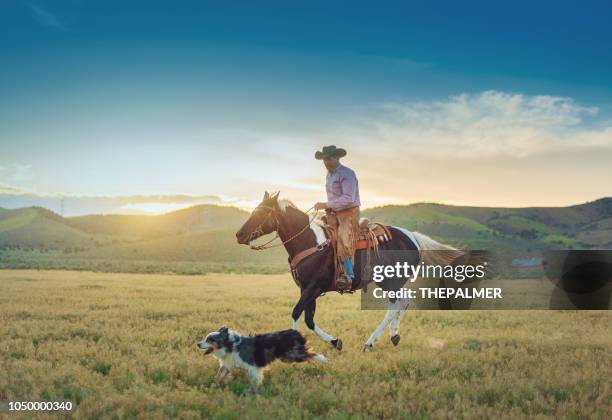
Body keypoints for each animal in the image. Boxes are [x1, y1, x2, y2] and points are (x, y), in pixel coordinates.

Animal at [198, 326, 328, 392]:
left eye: (210, 340)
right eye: (206, 338)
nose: (198, 344)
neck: (230, 345)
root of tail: (295, 332)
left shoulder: (252, 366)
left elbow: (255, 380)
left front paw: (254, 391)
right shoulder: (227, 365)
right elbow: (218, 376)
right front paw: (212, 386)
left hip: (292, 355)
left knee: (312, 353)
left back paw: (324, 360)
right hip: (288, 356)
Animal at [235, 192, 464, 350]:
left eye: (261, 212)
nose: (239, 234)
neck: (309, 242)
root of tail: (414, 237)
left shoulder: (313, 288)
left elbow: (297, 313)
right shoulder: (307, 289)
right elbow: (309, 319)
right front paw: (335, 341)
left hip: (389, 281)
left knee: (395, 305)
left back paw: (370, 342)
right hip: (394, 282)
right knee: (404, 301)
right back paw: (394, 336)